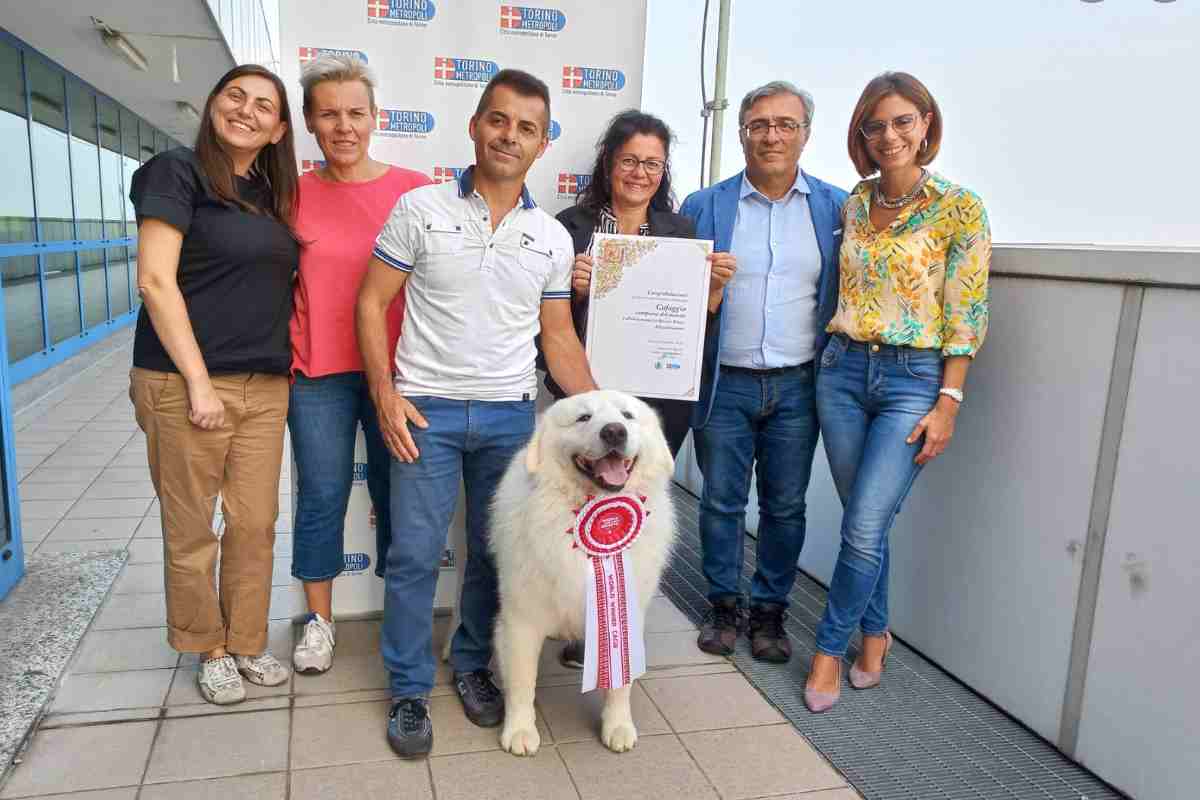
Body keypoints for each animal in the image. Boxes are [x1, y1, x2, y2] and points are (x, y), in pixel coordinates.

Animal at [487, 388, 676, 758]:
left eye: (627, 416)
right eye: (584, 418)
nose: (614, 432)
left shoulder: (625, 613)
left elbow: (620, 684)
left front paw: (618, 726)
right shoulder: (521, 621)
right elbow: (522, 683)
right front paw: (520, 730)